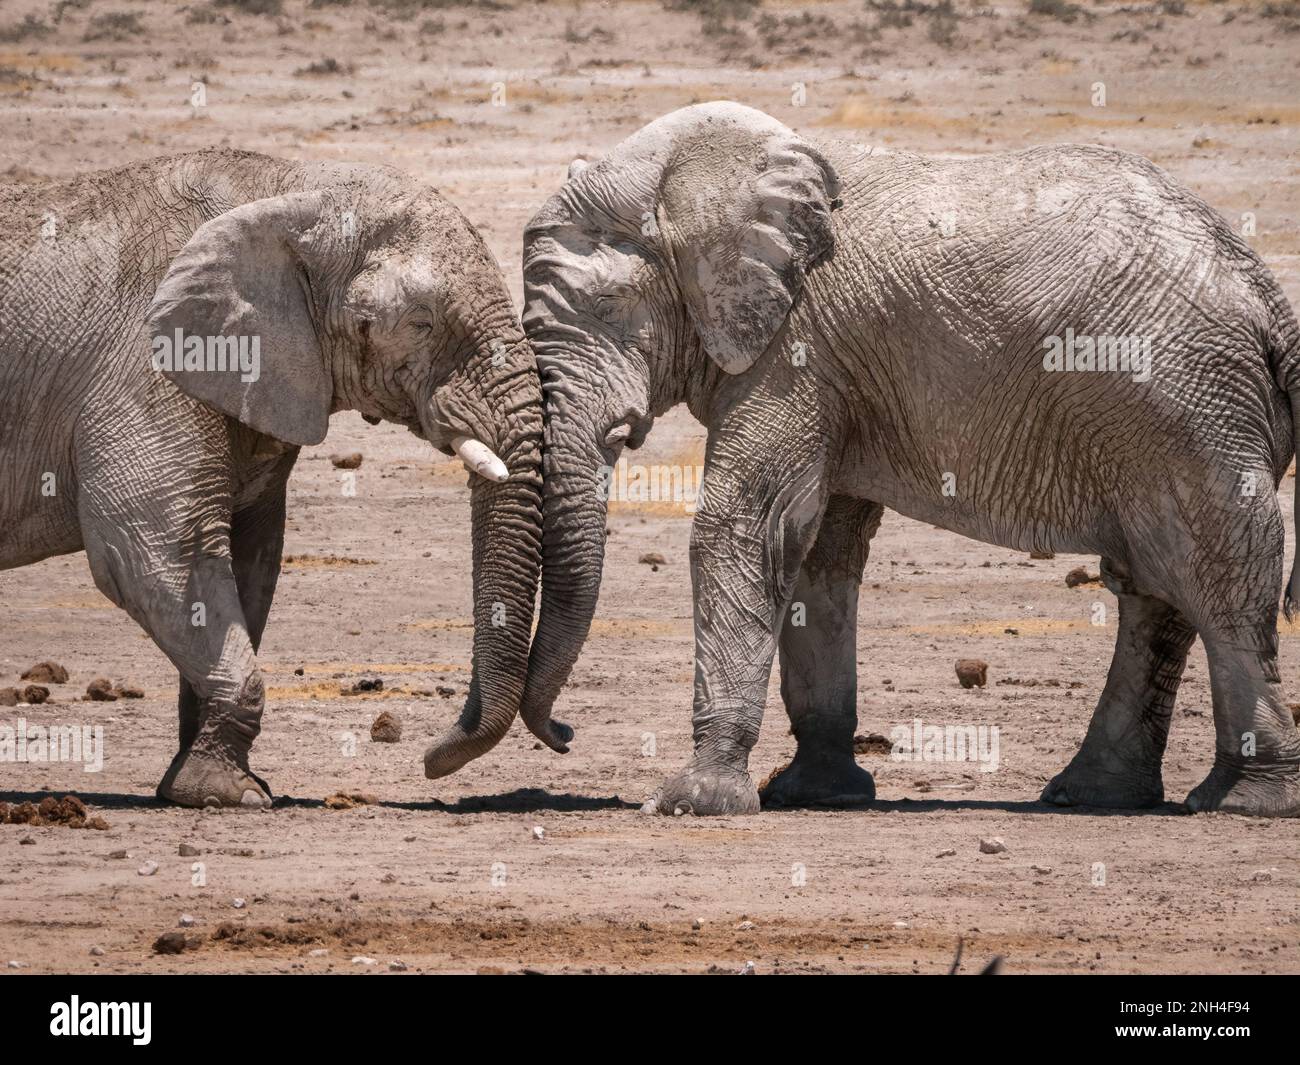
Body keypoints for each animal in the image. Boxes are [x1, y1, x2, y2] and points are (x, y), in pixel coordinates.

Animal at [0, 152, 543, 806]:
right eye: (420, 323)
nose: (429, 761)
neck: (294, 190)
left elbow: (251, 558)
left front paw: (200, 786)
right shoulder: (145, 363)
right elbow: (155, 553)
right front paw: (230, 795)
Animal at [506, 102, 1300, 816]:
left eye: (609, 308)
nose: (562, 733)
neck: (693, 173)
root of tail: (1267, 298)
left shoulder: (796, 349)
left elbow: (745, 530)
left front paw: (694, 802)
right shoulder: (830, 369)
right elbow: (819, 549)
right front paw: (815, 793)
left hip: (1188, 403)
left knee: (1218, 577)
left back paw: (1245, 802)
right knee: (1156, 586)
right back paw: (1097, 795)